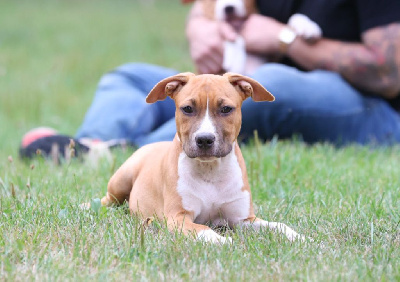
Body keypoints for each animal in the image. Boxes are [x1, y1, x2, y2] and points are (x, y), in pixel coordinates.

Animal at [90, 71, 308, 243]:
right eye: (187, 109)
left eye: (226, 109)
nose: (204, 140)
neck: (210, 170)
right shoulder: (178, 217)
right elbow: (203, 229)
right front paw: (223, 241)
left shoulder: (243, 219)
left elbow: (278, 225)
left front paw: (300, 238)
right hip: (121, 180)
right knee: (107, 200)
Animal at [194, 0, 322, 74]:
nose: (229, 7)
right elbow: (231, 34)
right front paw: (236, 59)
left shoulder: (274, 56)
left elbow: (294, 18)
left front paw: (307, 26)